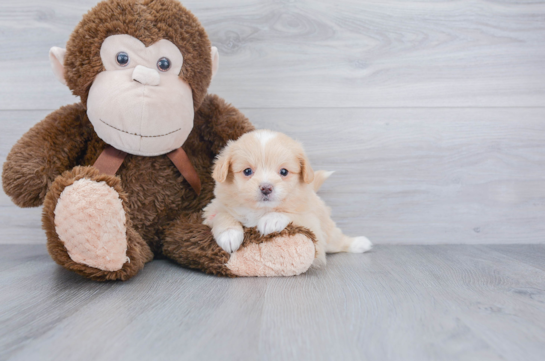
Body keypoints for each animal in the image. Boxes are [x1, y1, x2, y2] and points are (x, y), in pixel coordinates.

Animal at [202, 129, 372, 264]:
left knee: (337, 240)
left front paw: (272, 219)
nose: (266, 188)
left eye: (283, 172)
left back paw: (360, 243)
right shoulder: (213, 208)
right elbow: (223, 214)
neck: (261, 210)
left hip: (328, 231)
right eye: (247, 171)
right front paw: (229, 234)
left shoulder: (311, 220)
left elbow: (293, 214)